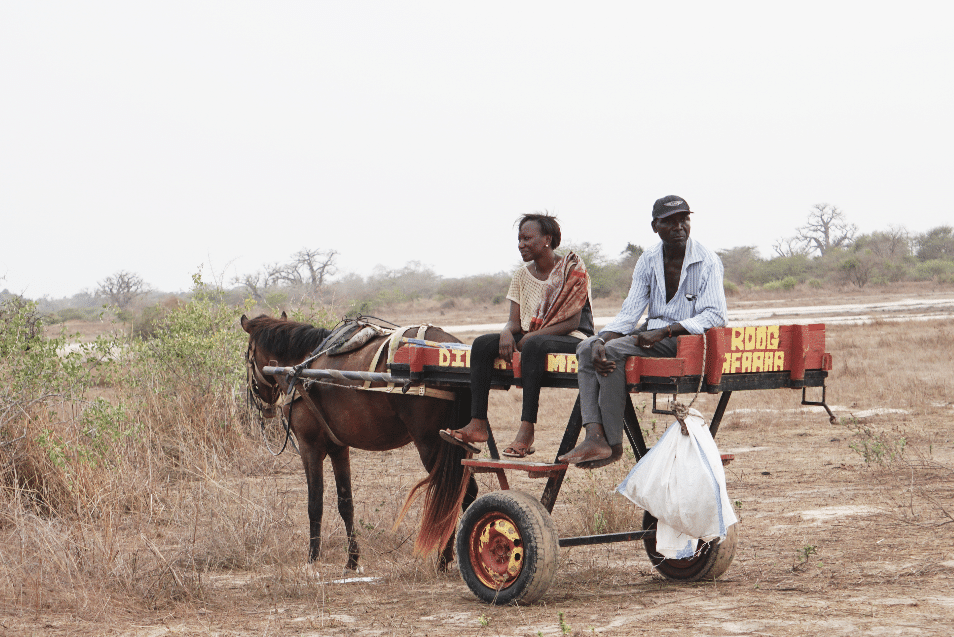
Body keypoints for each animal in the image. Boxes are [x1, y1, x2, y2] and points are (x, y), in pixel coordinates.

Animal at [238, 316, 476, 568]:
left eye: (247, 356)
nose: (265, 406)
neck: (302, 365)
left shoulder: (309, 446)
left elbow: (315, 502)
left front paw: (313, 556)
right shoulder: (338, 448)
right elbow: (345, 503)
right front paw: (352, 559)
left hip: (432, 445)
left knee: (454, 494)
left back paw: (445, 559)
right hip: (458, 443)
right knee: (464, 493)